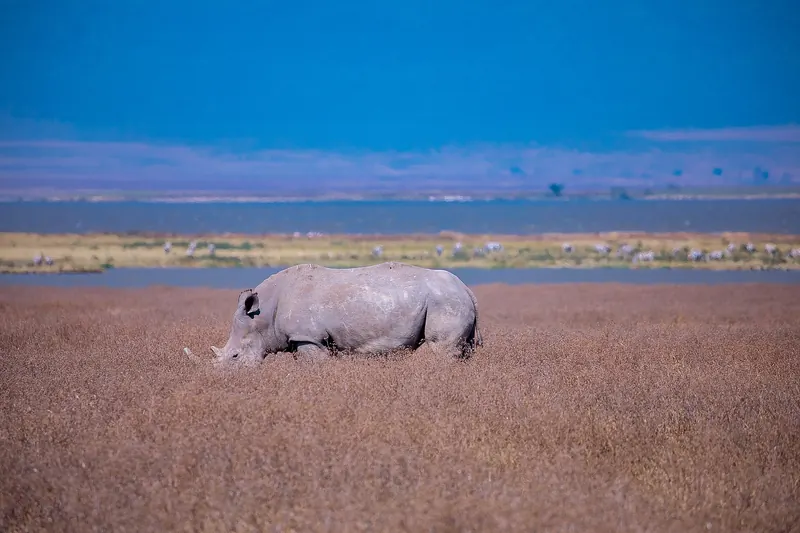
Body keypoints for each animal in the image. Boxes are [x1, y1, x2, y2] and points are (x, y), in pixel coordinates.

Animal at [208, 262, 482, 365]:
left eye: (234, 356)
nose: (221, 379)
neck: (262, 316)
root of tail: (467, 289)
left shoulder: (308, 337)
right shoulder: (299, 338)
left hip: (445, 302)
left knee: (442, 350)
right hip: (451, 300)